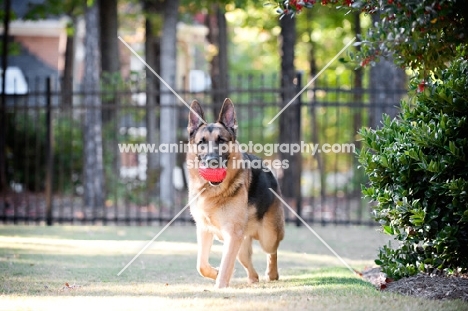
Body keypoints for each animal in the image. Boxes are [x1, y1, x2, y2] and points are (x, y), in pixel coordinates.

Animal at [187, 98, 286, 288]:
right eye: (202, 142)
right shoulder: (205, 230)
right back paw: (253, 279)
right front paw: (215, 273)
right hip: (240, 246)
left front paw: (220, 285)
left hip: (268, 237)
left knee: (272, 251)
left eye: (221, 140)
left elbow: (226, 264)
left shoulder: (232, 235)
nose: (212, 161)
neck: (214, 192)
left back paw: (272, 273)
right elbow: (201, 265)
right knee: (249, 266)